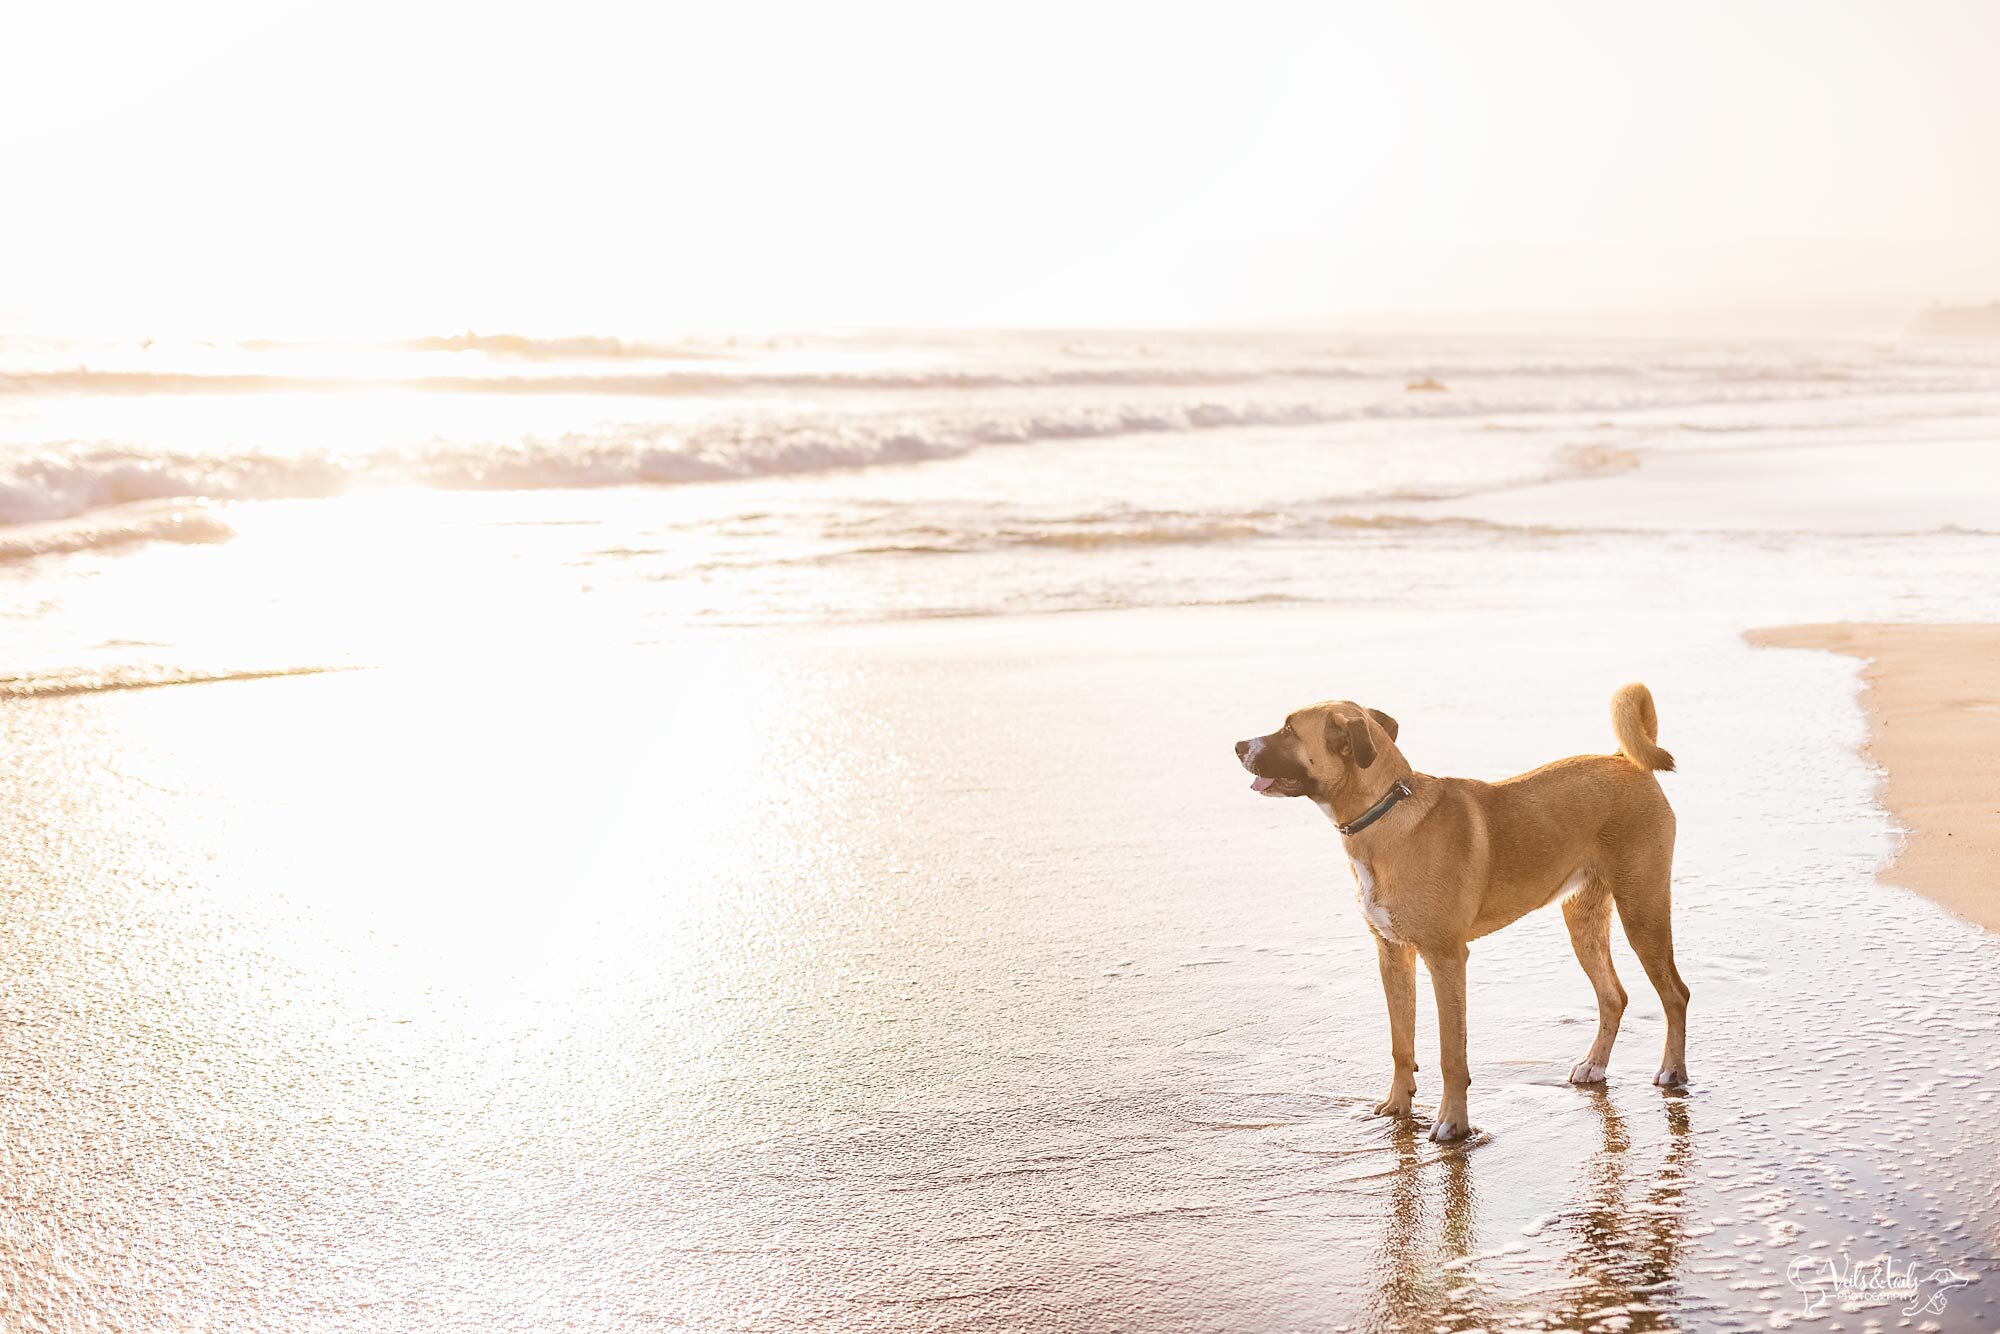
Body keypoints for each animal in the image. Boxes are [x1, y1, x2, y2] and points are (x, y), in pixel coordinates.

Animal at [1232, 696, 1688, 1144]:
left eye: (1289, 730)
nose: (1237, 746)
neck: (1384, 812)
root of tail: (1624, 760)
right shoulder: (1393, 956)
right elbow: (1401, 1043)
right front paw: (1397, 1106)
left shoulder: (1446, 958)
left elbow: (1451, 1054)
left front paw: (1453, 1123)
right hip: (1583, 921)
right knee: (1614, 996)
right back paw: (1594, 1065)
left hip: (1642, 910)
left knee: (1675, 994)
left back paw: (1672, 1072)